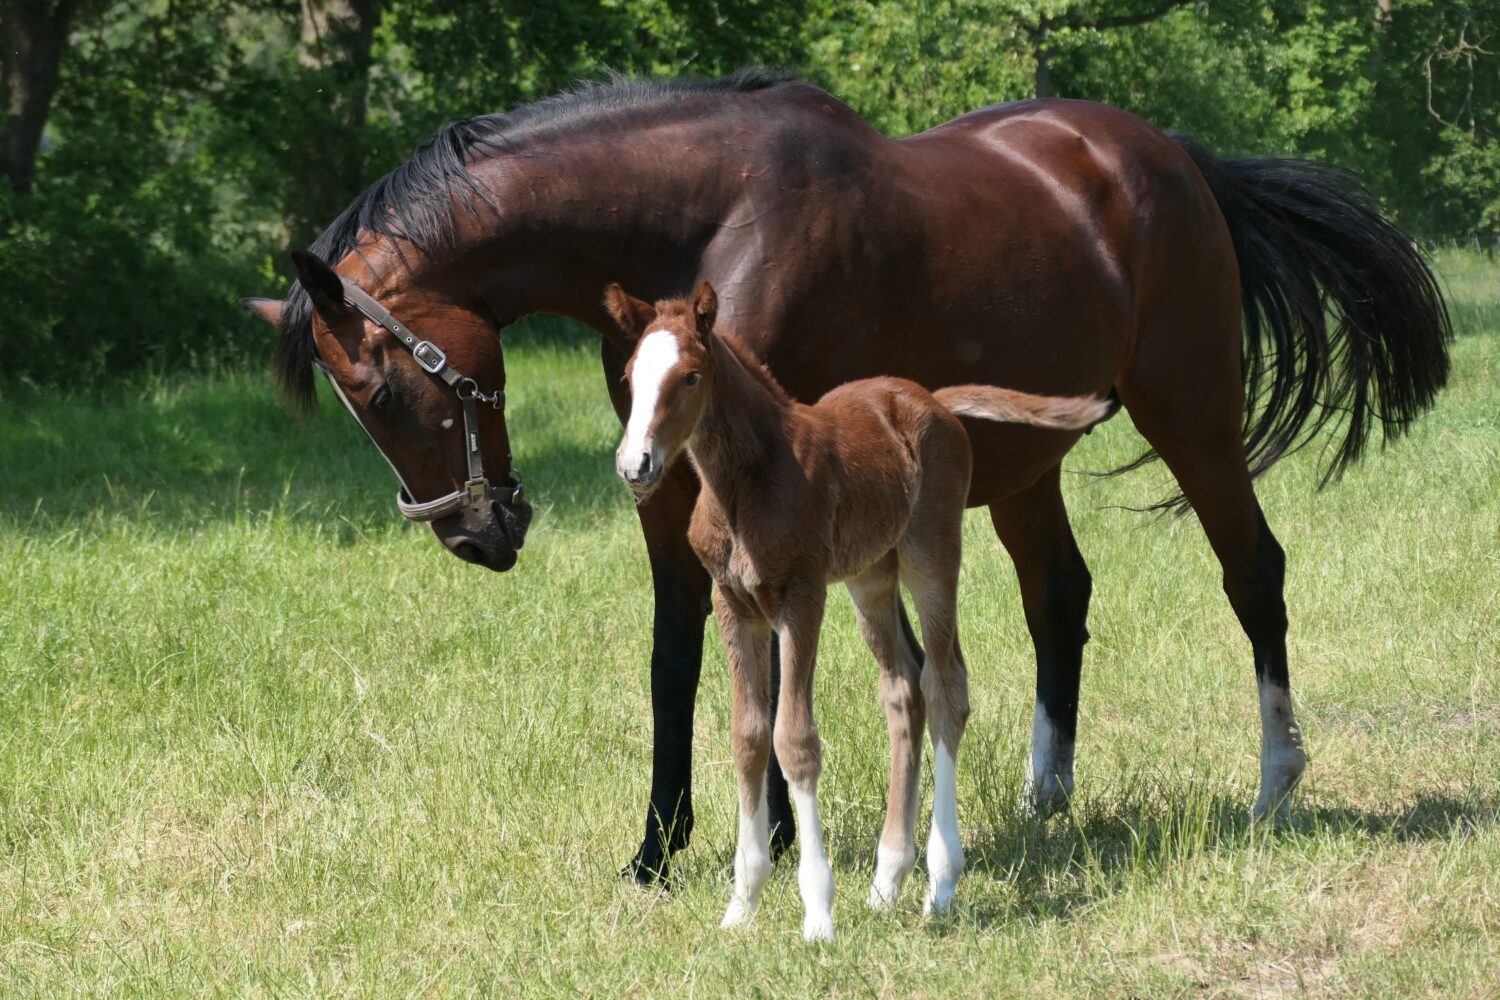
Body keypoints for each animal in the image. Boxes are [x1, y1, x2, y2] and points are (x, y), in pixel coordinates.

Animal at [603, 280, 1110, 941]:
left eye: (689, 377)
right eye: (630, 375)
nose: (635, 466)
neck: (745, 483)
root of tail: (933, 400)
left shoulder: (801, 597)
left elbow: (794, 741)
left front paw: (818, 912)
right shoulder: (735, 604)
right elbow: (749, 737)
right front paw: (742, 905)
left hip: (929, 557)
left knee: (946, 686)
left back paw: (941, 882)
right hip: (871, 577)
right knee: (904, 689)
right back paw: (888, 879)